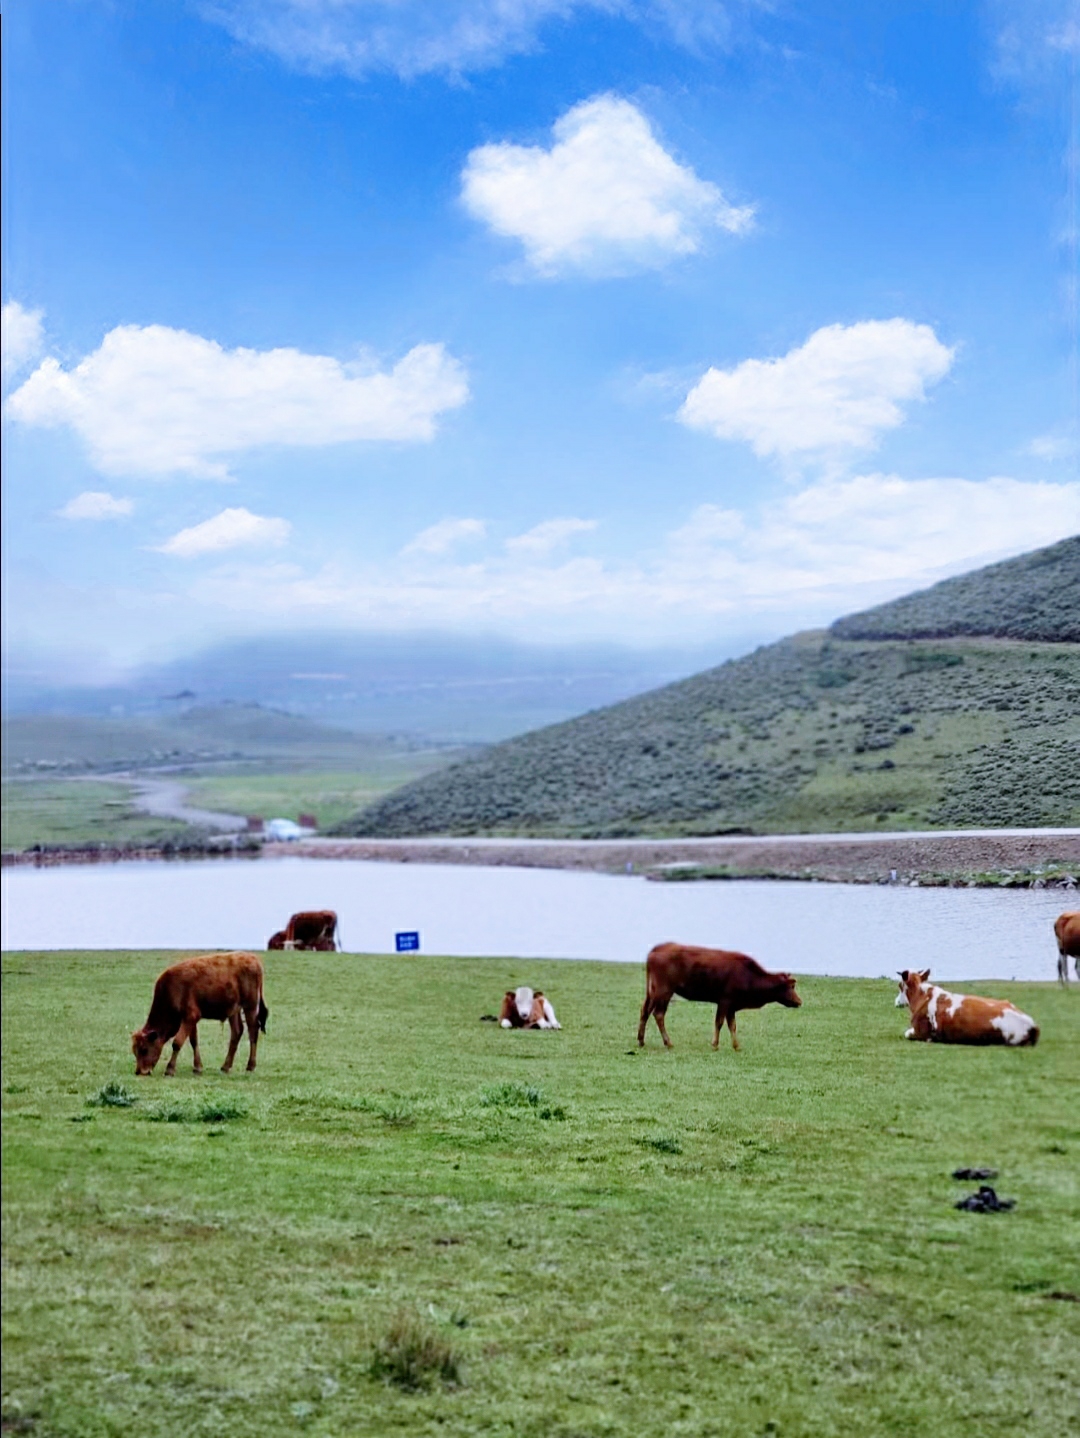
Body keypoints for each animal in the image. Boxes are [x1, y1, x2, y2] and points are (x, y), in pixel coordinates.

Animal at [132, 949, 268, 1075]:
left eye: (144, 1049)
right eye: (134, 1051)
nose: (139, 1072)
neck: (170, 989)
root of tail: (254, 959)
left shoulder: (190, 1017)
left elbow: (177, 1042)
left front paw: (170, 1069)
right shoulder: (190, 1019)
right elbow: (194, 1041)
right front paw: (197, 1067)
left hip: (250, 1007)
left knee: (253, 1031)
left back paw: (250, 1066)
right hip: (234, 1010)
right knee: (237, 1032)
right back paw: (225, 1066)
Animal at [897, 972, 1041, 1052]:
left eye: (900, 986)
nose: (897, 1001)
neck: (923, 996)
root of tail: (1031, 1024)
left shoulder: (920, 1032)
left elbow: (907, 1033)